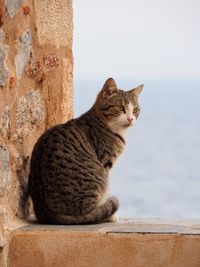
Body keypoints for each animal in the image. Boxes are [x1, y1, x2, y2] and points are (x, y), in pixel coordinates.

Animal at [28, 78, 144, 225]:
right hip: (97, 178)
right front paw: (109, 214)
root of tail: (48, 214)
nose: (130, 119)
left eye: (135, 110)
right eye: (120, 107)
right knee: (87, 213)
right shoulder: (105, 163)